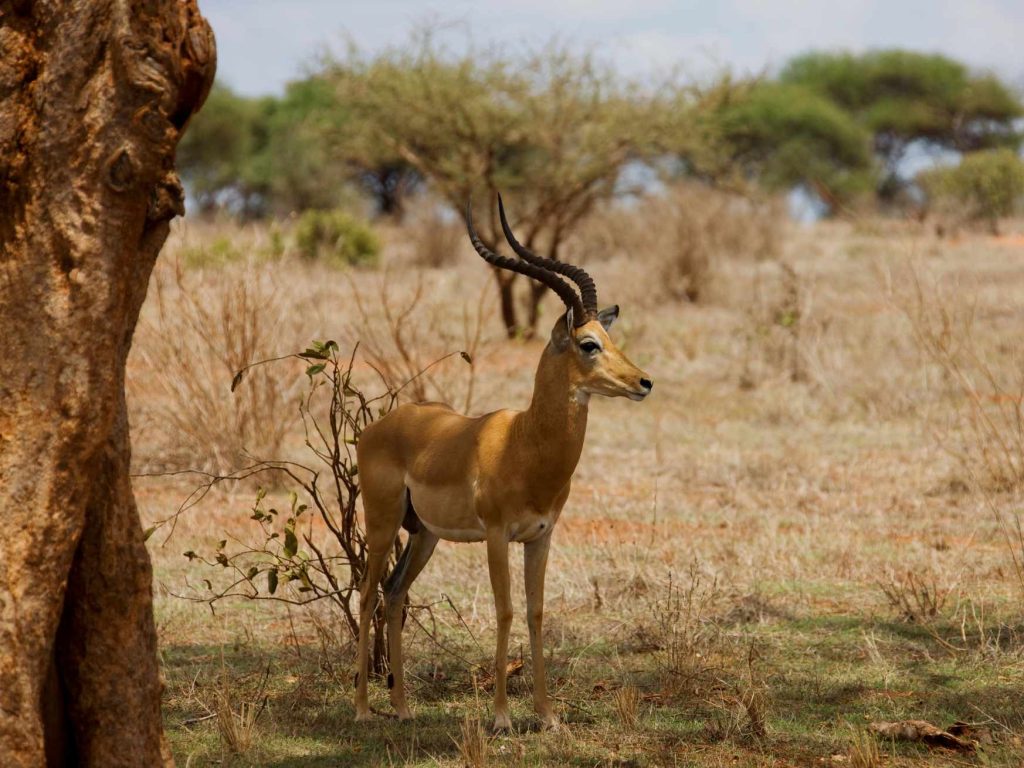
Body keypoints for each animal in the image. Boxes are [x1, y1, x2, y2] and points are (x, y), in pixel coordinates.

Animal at [353, 197, 653, 730]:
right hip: (383, 522)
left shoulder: (540, 535)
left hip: (424, 534)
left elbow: (535, 613)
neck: (525, 445)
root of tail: (381, 424)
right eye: (588, 344)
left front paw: (547, 715)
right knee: (368, 594)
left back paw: (404, 708)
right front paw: (501, 718)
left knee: (394, 592)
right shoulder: (496, 535)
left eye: (610, 338)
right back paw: (364, 710)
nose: (644, 382)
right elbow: (506, 610)